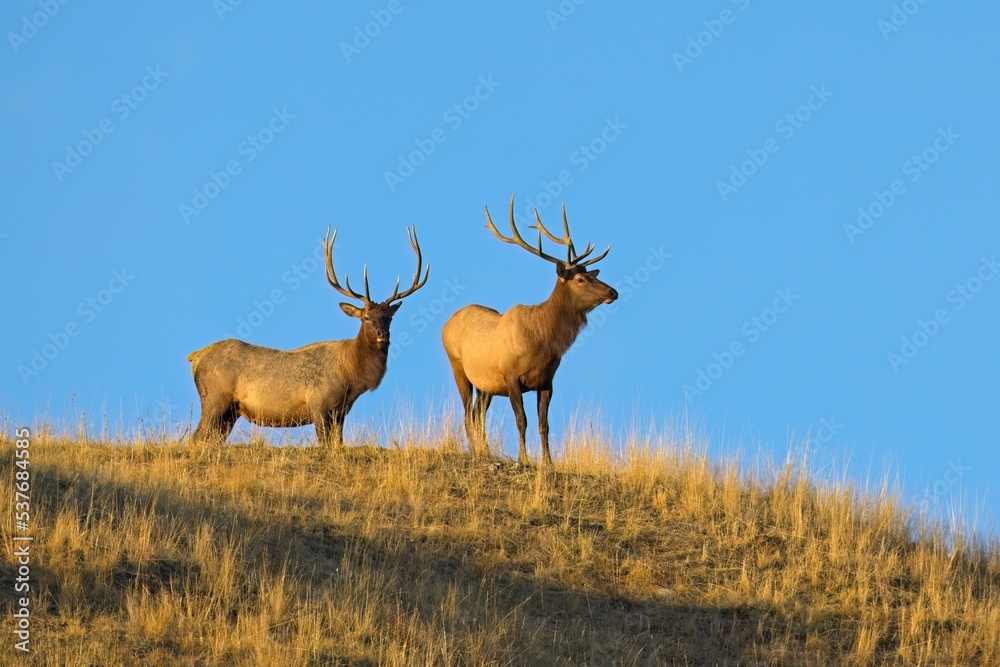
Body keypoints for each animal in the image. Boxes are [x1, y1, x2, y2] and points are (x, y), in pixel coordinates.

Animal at [187, 226, 429, 446]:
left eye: (389, 317)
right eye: (366, 318)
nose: (382, 334)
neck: (351, 376)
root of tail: (195, 357)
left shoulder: (340, 412)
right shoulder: (320, 405)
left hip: (230, 412)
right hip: (214, 400)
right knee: (195, 438)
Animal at [442, 195, 618, 465]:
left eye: (592, 275)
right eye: (580, 279)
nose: (612, 292)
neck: (542, 344)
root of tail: (446, 324)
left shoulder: (547, 381)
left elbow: (544, 424)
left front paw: (548, 462)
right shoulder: (511, 376)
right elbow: (521, 420)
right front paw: (523, 458)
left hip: (486, 385)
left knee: (478, 414)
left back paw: (485, 450)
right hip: (458, 367)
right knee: (468, 415)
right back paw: (475, 452)